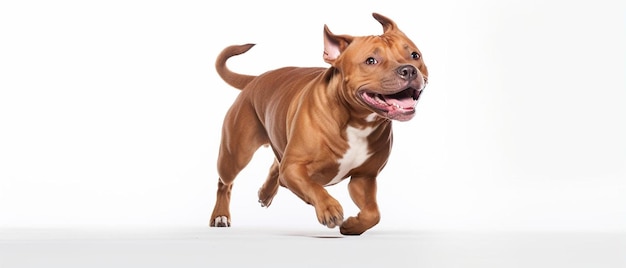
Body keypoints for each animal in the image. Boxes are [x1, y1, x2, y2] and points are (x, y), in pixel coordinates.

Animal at [210, 13, 428, 234]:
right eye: (371, 60)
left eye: (415, 55)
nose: (409, 70)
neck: (358, 121)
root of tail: (255, 79)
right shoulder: (294, 169)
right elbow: (313, 187)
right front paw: (329, 208)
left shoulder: (364, 178)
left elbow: (372, 214)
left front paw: (352, 226)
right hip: (235, 155)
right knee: (224, 183)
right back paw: (220, 215)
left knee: (275, 166)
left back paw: (265, 193)